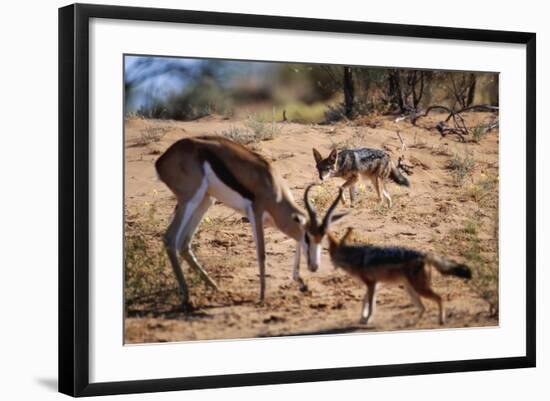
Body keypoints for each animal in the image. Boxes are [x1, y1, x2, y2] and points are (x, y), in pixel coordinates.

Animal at [155, 136, 344, 308]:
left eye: (321, 238)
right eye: (308, 237)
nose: (314, 266)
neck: (272, 187)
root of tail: (161, 161)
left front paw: (302, 283)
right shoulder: (256, 213)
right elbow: (262, 253)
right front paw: (262, 296)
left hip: (205, 200)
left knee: (183, 243)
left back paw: (216, 289)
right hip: (190, 199)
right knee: (170, 238)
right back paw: (187, 299)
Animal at [326, 188, 472, 324]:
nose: (331, 263)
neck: (355, 257)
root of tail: (425, 255)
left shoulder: (371, 284)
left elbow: (370, 305)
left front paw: (367, 319)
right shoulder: (374, 284)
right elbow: (364, 301)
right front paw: (363, 318)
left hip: (419, 288)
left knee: (439, 298)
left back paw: (441, 320)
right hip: (410, 288)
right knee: (423, 307)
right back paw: (411, 322)